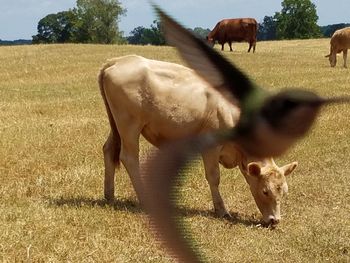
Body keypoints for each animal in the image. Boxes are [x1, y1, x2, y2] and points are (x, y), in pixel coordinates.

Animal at [98, 54, 298, 226]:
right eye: (265, 191)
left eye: (285, 192)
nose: (274, 220)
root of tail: (119, 60)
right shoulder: (211, 147)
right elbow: (214, 177)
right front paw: (222, 210)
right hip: (129, 126)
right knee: (129, 158)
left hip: (117, 125)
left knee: (109, 150)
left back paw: (109, 195)